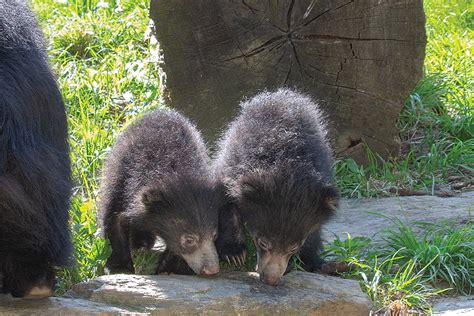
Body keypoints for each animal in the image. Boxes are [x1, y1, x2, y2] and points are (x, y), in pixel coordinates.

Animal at [213, 88, 338, 286]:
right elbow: (226, 203)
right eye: (262, 242)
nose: (271, 279)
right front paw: (234, 253)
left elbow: (314, 230)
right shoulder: (232, 162)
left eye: (294, 247)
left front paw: (313, 262)